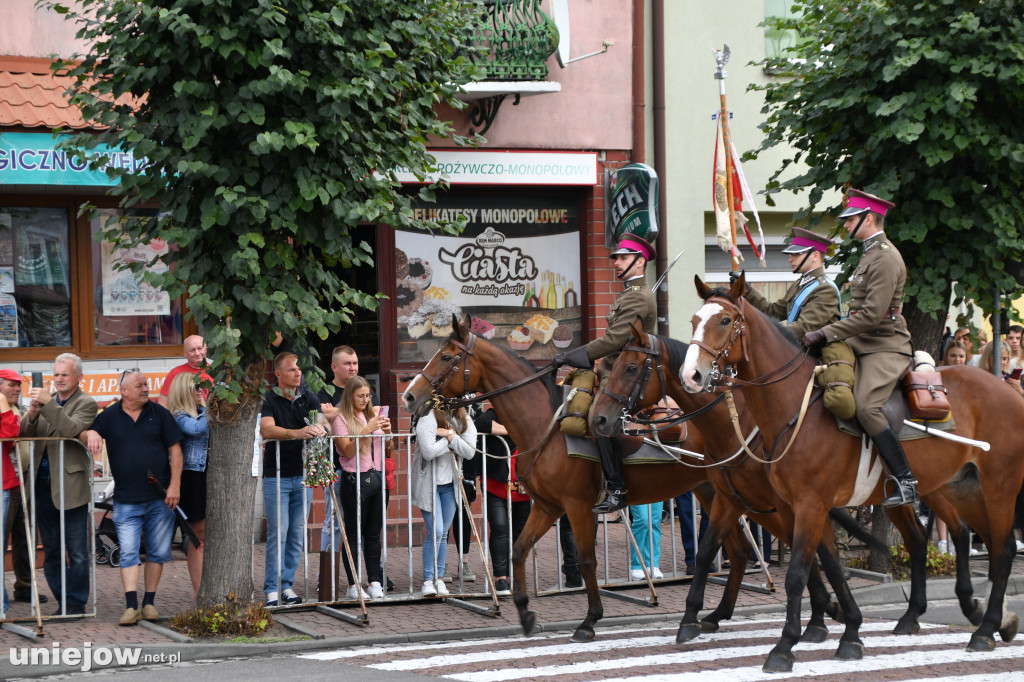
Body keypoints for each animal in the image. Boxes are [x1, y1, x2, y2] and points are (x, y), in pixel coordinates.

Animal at [399, 315, 753, 638]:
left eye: (447, 356)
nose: (409, 396)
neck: (546, 424)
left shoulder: (578, 506)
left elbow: (586, 560)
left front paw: (590, 620)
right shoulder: (547, 507)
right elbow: (518, 550)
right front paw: (526, 614)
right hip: (714, 493)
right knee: (737, 551)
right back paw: (717, 614)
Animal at [589, 319, 978, 643]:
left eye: (630, 367)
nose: (599, 419)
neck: (738, 423)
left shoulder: (790, 504)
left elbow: (808, 555)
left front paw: (823, 616)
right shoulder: (740, 500)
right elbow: (711, 551)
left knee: (949, 530)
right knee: (922, 537)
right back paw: (915, 614)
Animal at [679, 274, 1024, 667]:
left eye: (724, 321)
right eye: (694, 320)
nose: (691, 375)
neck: (793, 408)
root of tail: (1007, 386)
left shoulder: (810, 504)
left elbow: (798, 573)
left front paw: (785, 646)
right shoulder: (792, 505)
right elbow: (829, 564)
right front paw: (851, 631)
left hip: (999, 486)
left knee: (1002, 550)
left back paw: (985, 629)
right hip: (960, 487)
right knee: (967, 539)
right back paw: (978, 619)